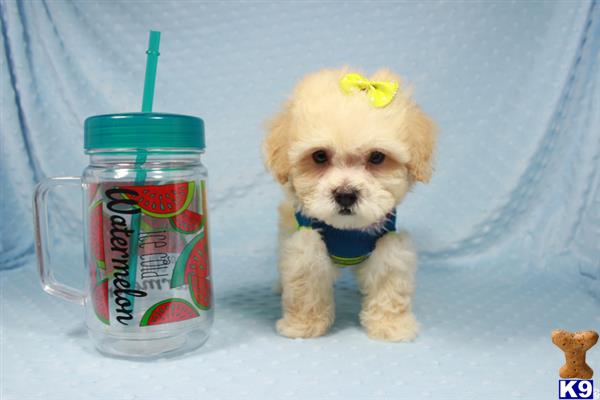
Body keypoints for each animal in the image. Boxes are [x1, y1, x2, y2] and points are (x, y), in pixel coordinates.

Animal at [262, 66, 436, 340]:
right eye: (319, 156)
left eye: (377, 157)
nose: (345, 194)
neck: (348, 230)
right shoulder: (306, 245)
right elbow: (305, 281)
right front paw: (304, 325)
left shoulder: (389, 243)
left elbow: (389, 278)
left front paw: (391, 325)